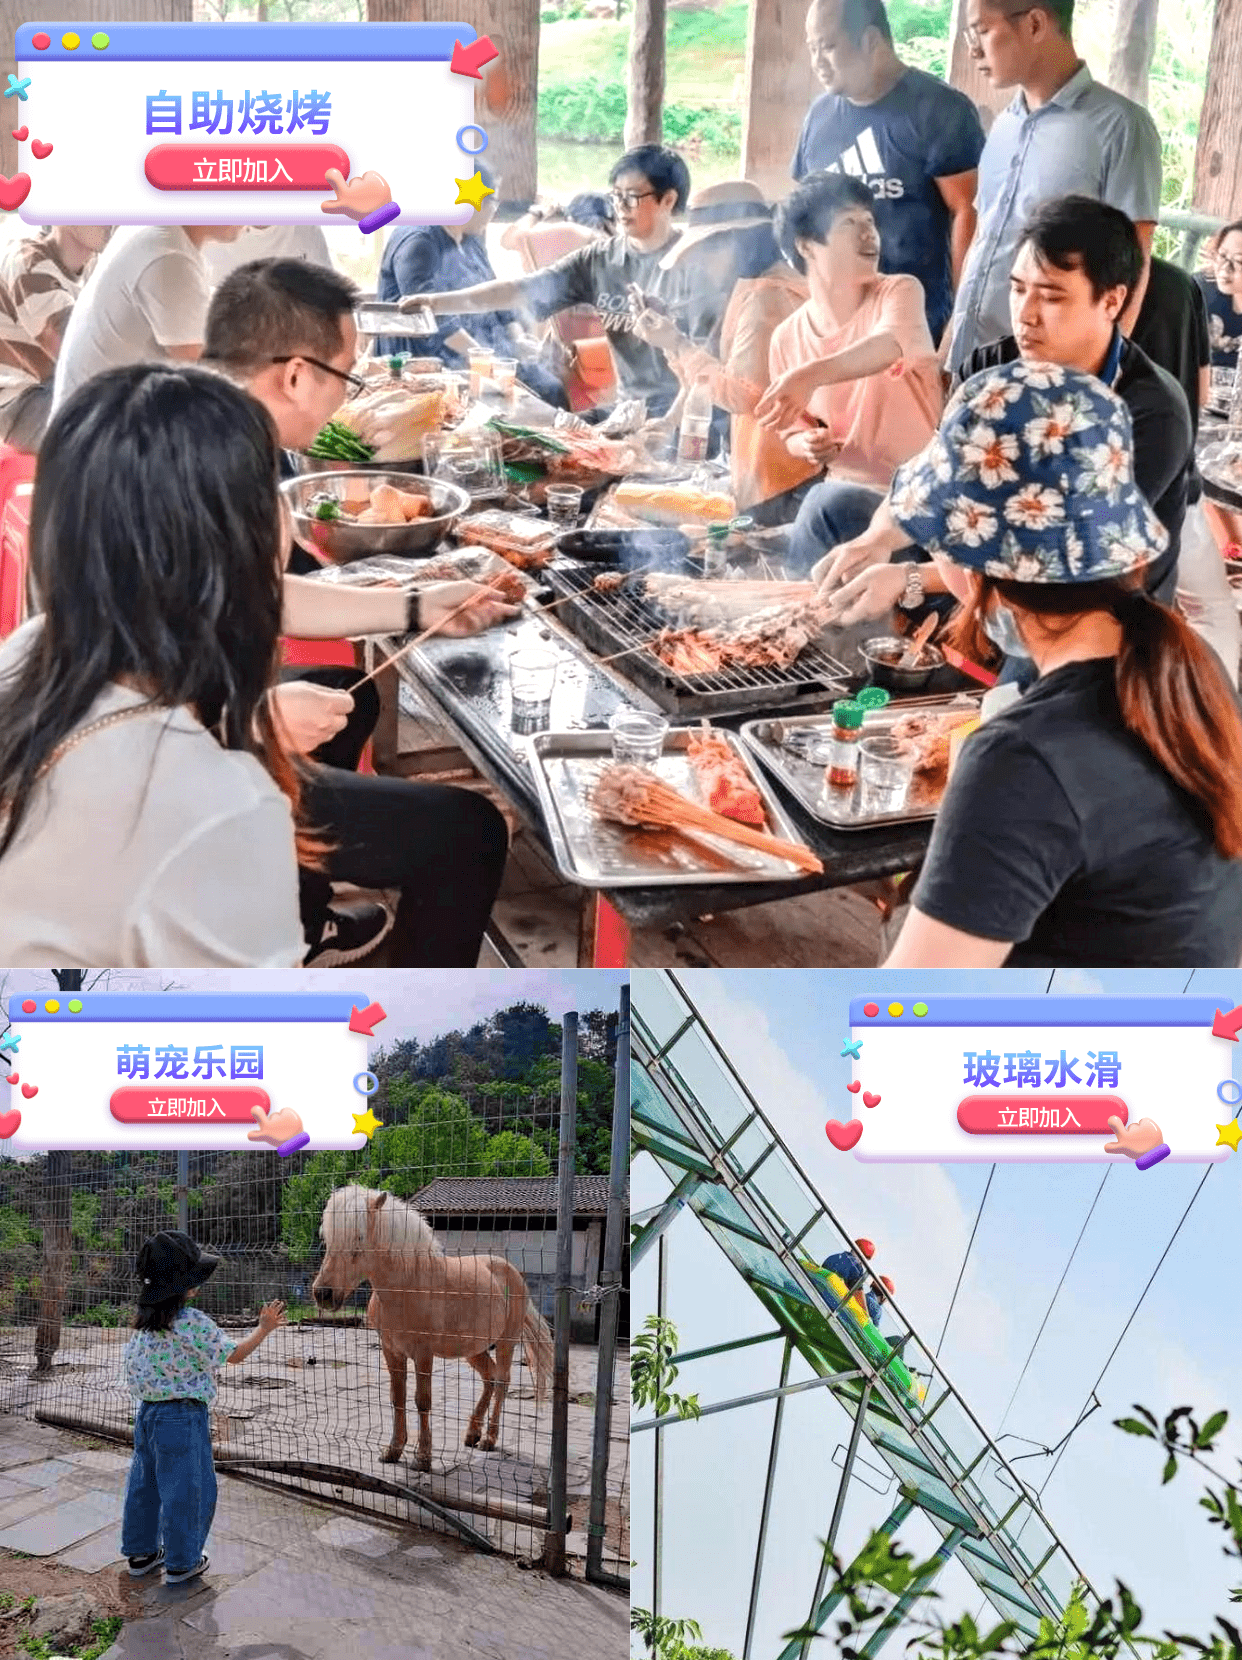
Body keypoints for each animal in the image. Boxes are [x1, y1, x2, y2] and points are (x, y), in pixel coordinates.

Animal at [310, 1188, 554, 1474]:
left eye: (358, 1237)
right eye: (328, 1238)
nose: (323, 1294)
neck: (406, 1287)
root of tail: (513, 1272)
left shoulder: (423, 1353)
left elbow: (422, 1400)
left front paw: (423, 1457)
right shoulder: (392, 1352)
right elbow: (398, 1398)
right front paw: (393, 1450)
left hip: (507, 1342)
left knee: (502, 1382)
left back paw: (489, 1439)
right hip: (474, 1349)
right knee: (490, 1378)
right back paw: (472, 1434)